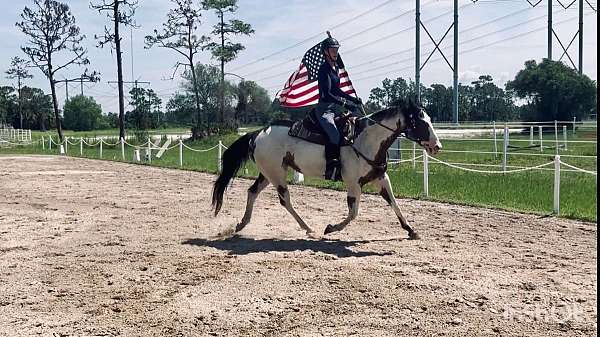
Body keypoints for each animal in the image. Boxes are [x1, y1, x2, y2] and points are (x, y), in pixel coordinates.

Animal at [211, 100, 440, 239]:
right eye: (420, 122)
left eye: (430, 120)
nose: (437, 146)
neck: (364, 140)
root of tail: (258, 133)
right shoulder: (353, 184)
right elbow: (354, 213)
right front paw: (331, 228)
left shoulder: (381, 178)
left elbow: (395, 204)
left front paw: (411, 230)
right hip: (277, 175)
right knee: (285, 200)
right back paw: (308, 228)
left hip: (268, 174)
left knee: (252, 192)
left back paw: (242, 224)